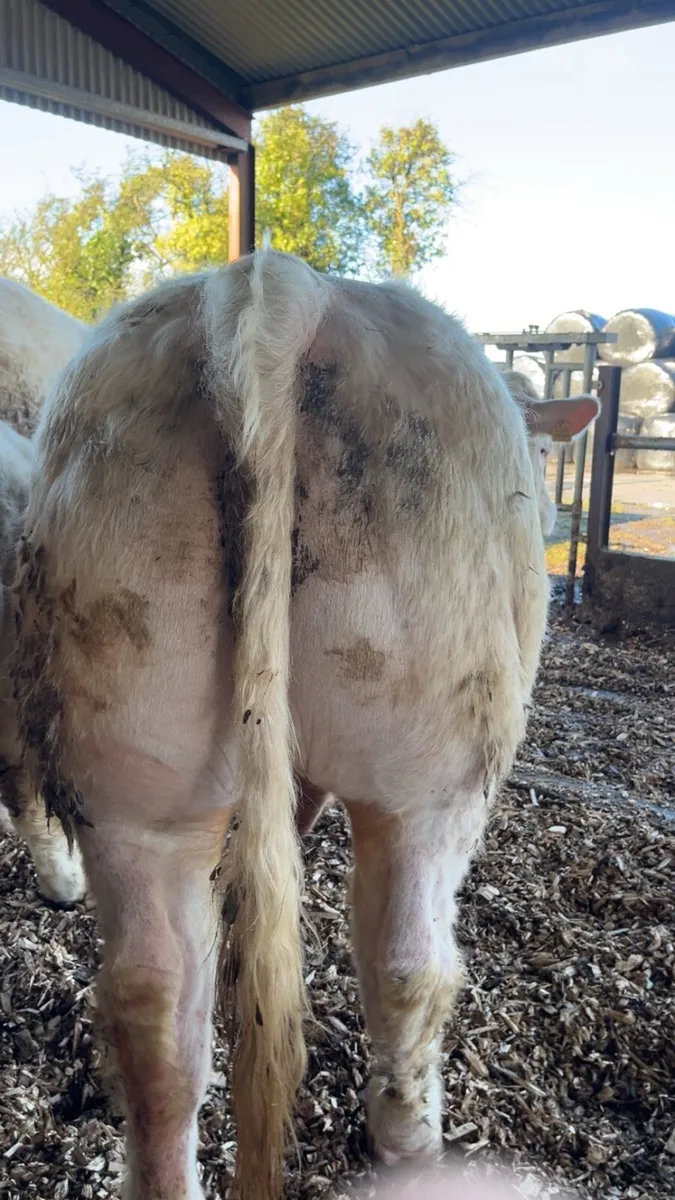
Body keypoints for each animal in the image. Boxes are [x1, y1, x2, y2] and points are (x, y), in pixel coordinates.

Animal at [10, 252, 599, 1200]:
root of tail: (276, 286)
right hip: (430, 760)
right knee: (407, 962)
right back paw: (409, 1142)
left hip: (128, 734)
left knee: (153, 999)